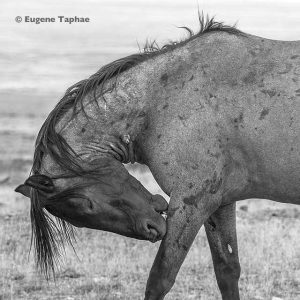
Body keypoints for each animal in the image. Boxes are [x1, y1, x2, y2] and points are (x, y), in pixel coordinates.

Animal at [15, 15, 300, 300]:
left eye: (87, 204)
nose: (151, 229)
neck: (163, 100)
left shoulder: (192, 203)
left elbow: (161, 277)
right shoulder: (220, 203)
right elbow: (227, 270)